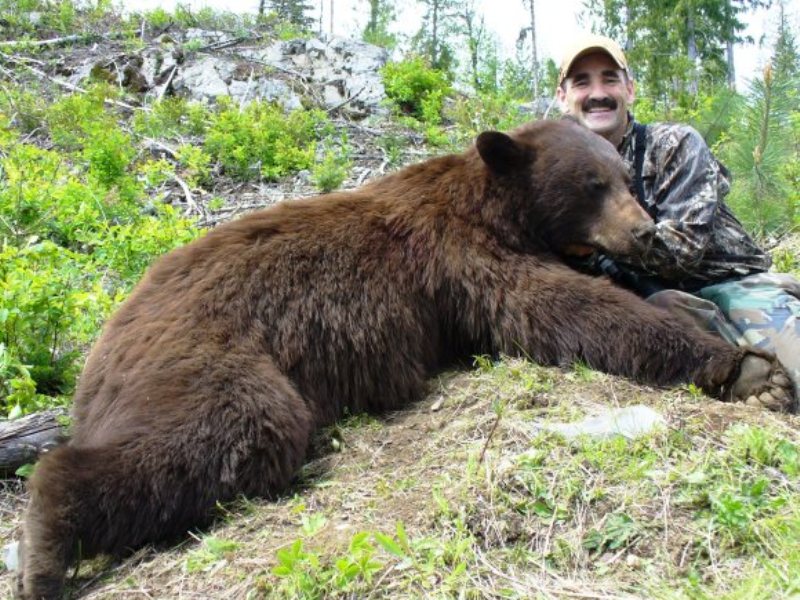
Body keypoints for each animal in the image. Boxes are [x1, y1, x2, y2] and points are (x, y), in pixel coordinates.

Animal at [16, 118, 794, 599]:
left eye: (626, 181)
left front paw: (694, 315)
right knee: (224, 431)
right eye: (592, 184)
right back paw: (45, 553)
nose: (643, 232)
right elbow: (560, 310)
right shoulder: (464, 259)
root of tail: (95, 355)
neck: (498, 204)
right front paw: (746, 369)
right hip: (208, 356)